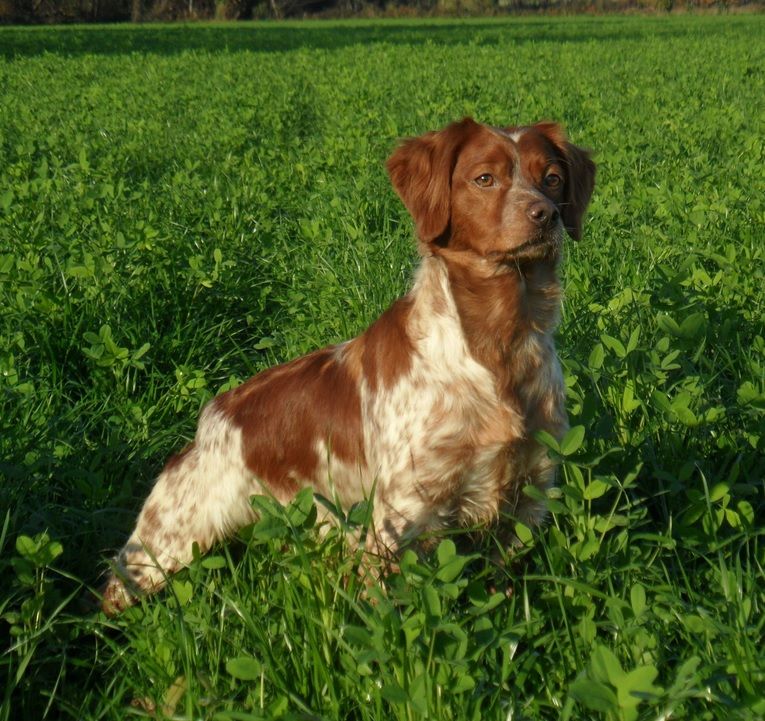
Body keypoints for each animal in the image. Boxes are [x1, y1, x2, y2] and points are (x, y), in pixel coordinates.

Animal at [101, 118, 592, 612]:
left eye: (552, 178)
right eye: (484, 178)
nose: (545, 215)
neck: (499, 344)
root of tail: (209, 420)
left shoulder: (529, 494)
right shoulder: (403, 516)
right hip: (163, 547)